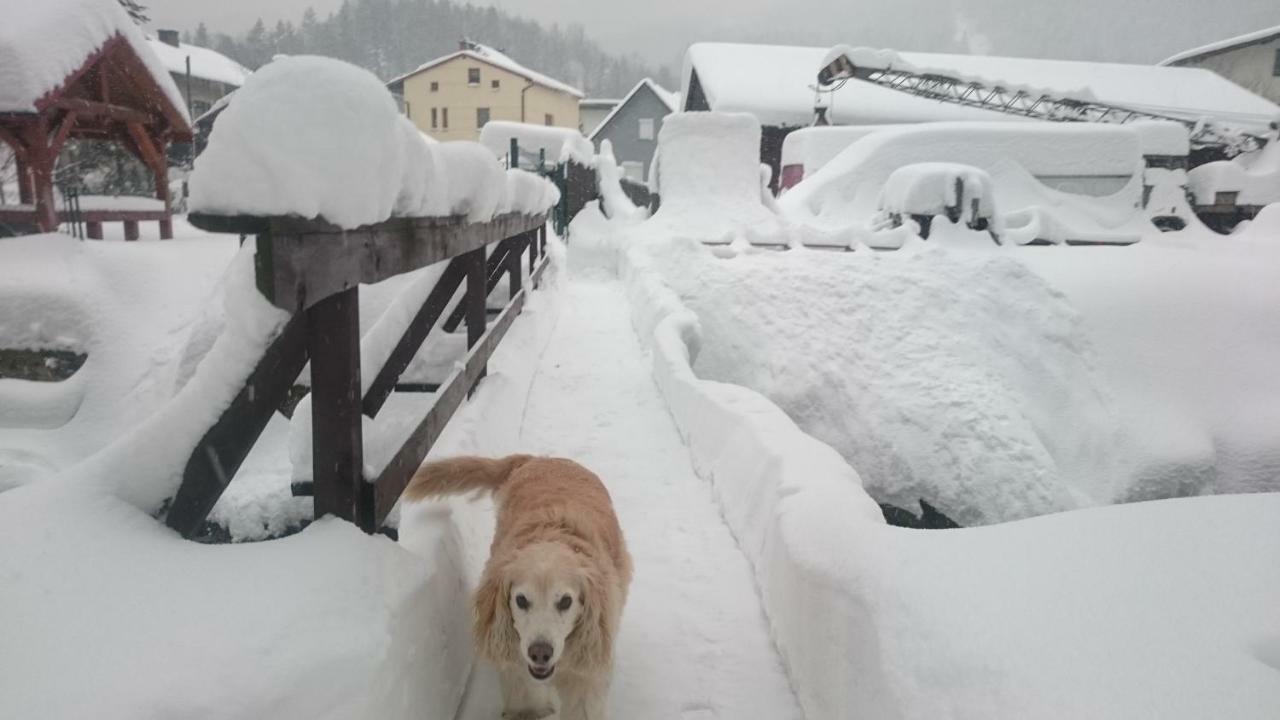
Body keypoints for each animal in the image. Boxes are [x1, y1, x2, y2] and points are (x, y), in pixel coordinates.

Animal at [407, 453, 632, 717]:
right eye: (521, 600)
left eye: (566, 601)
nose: (540, 653)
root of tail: (539, 458)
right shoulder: (519, 674)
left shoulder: (586, 678)